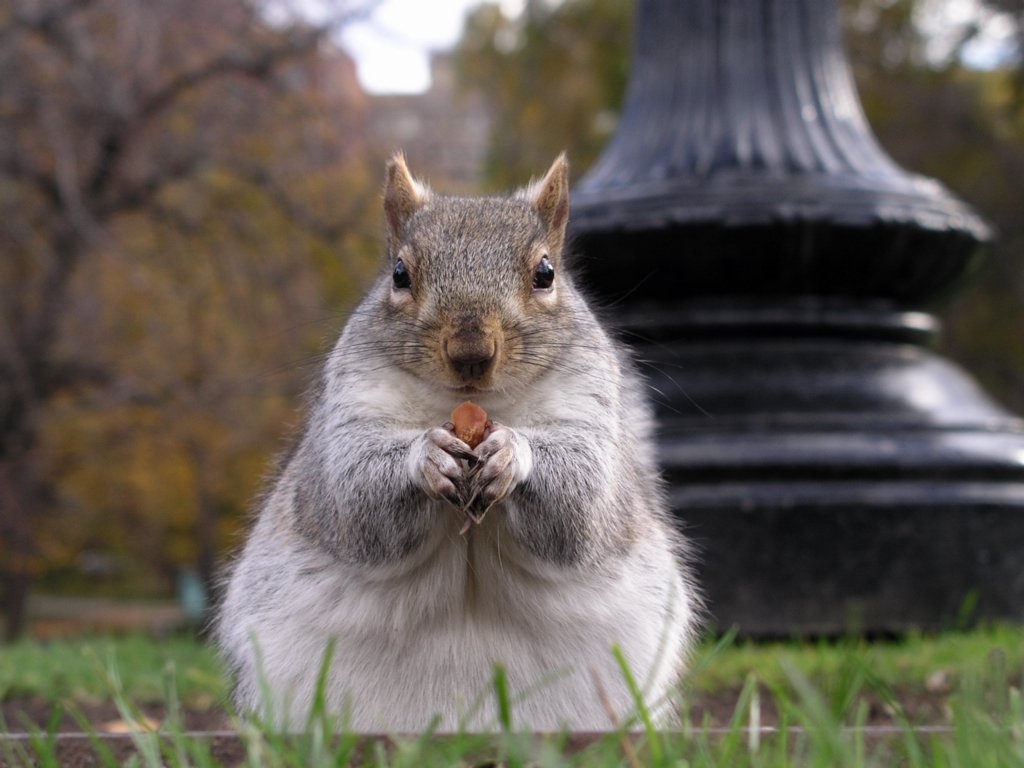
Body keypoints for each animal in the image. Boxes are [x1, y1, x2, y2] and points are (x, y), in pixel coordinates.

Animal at [212, 151, 700, 733]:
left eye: (545, 273)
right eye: (399, 273)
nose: (471, 351)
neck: (472, 407)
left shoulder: (590, 410)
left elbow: (579, 505)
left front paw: (513, 452)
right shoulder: (349, 413)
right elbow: (356, 500)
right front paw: (425, 456)